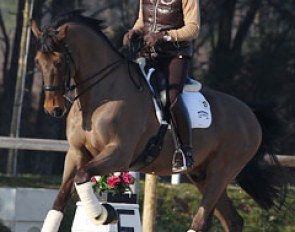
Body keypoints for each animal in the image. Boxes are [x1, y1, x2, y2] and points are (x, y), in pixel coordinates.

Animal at [31, 11, 286, 232]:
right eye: (37, 61)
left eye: (60, 62)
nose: (53, 109)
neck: (100, 95)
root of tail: (250, 115)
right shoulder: (76, 153)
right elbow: (61, 198)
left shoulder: (118, 153)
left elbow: (82, 177)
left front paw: (104, 214)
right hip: (202, 174)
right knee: (232, 220)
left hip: (221, 172)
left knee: (202, 219)